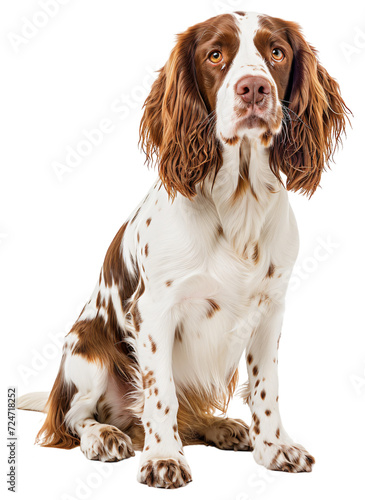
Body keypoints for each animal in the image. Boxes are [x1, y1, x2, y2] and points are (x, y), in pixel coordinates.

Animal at [18, 11, 348, 488]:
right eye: (215, 55)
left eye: (277, 52)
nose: (254, 88)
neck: (239, 201)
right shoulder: (154, 310)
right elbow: (161, 396)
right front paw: (163, 458)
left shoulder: (271, 309)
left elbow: (265, 388)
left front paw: (274, 447)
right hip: (86, 350)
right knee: (75, 419)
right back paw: (104, 436)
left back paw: (223, 427)